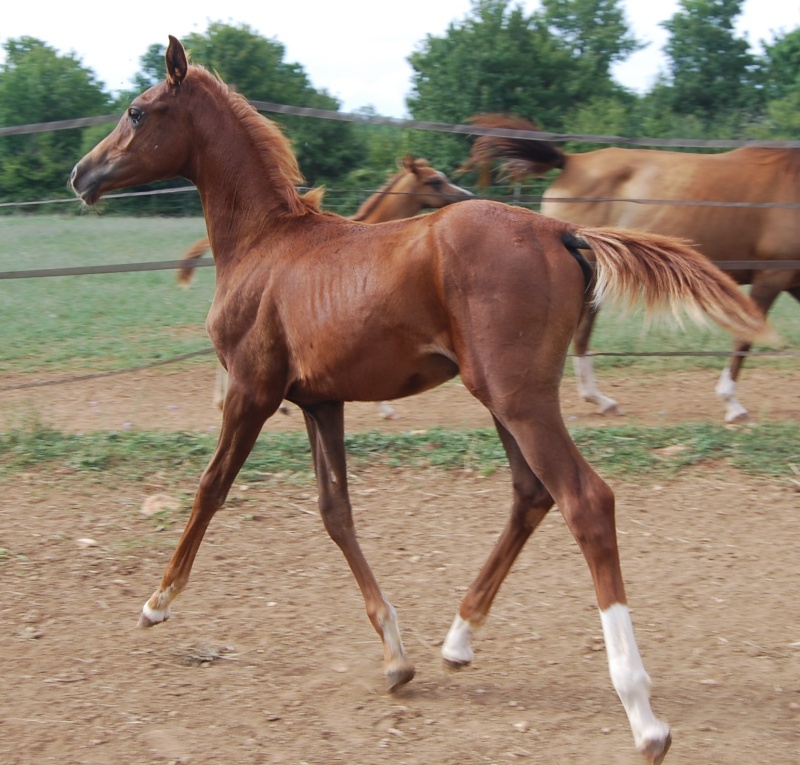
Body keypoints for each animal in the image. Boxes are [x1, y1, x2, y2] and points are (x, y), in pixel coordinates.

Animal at [466, 114, 796, 424]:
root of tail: (572, 161)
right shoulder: (771, 276)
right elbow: (745, 336)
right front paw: (733, 405)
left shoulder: (793, 282)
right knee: (578, 333)